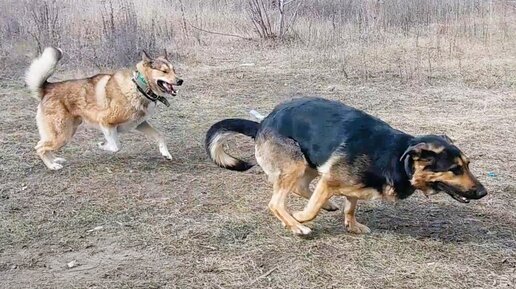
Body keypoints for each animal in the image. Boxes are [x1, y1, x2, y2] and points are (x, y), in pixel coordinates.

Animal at [26, 47, 184, 169]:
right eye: (164, 71)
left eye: (174, 70)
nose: (180, 81)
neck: (139, 87)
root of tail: (48, 87)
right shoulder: (105, 122)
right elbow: (115, 146)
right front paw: (102, 145)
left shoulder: (139, 124)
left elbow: (159, 135)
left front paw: (166, 153)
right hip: (62, 135)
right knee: (39, 147)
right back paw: (52, 165)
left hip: (66, 132)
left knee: (43, 146)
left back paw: (54, 159)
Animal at [204, 97, 486, 234]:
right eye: (455, 169)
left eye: (468, 164)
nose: (483, 192)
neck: (395, 156)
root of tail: (263, 122)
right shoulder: (330, 180)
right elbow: (311, 210)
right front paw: (299, 217)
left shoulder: (350, 185)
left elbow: (351, 206)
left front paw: (352, 225)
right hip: (296, 163)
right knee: (277, 203)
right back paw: (296, 225)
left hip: (309, 162)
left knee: (300, 188)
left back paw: (326, 205)